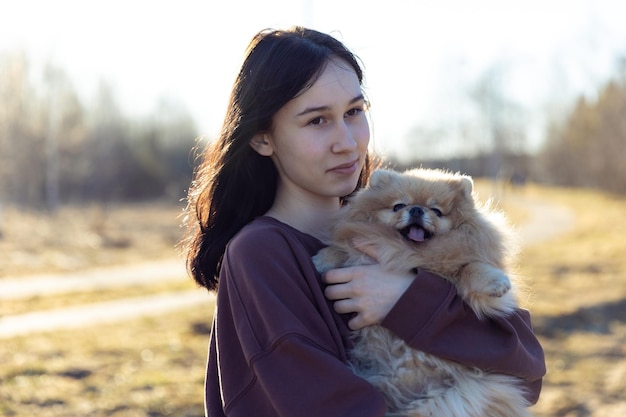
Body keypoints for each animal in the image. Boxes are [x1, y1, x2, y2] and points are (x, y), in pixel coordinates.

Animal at [312, 167, 528, 414]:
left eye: (436, 210)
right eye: (399, 206)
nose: (416, 209)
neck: (412, 253)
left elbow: (469, 267)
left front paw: (495, 282)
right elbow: (344, 248)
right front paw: (323, 258)